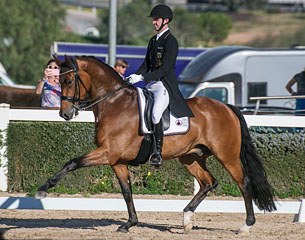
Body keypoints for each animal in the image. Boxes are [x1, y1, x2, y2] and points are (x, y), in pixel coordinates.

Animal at [35, 55, 276, 232]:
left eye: (68, 81)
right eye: (59, 80)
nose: (65, 114)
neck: (114, 103)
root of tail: (226, 107)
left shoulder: (107, 152)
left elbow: (73, 162)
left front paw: (43, 189)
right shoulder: (117, 160)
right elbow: (126, 191)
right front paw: (129, 223)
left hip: (227, 156)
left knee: (243, 183)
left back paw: (246, 226)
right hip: (190, 157)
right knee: (208, 183)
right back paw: (186, 220)